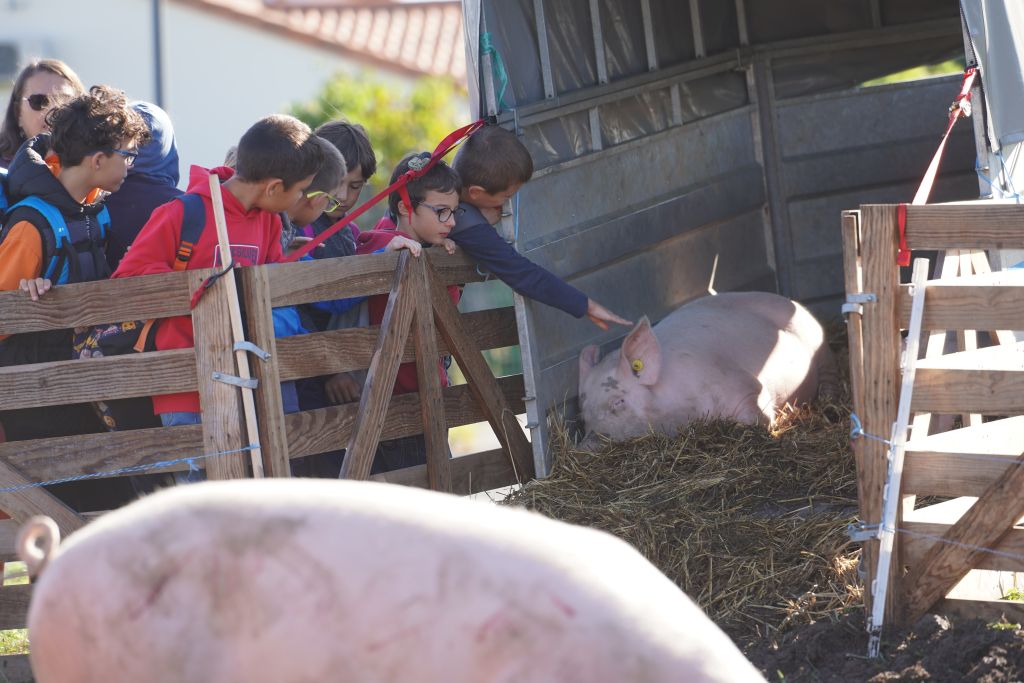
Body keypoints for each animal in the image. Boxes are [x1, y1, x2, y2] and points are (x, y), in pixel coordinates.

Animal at [577, 292, 831, 444]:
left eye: (618, 401)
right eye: (583, 408)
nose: (584, 446)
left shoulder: (744, 385)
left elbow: (756, 417)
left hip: (820, 347)